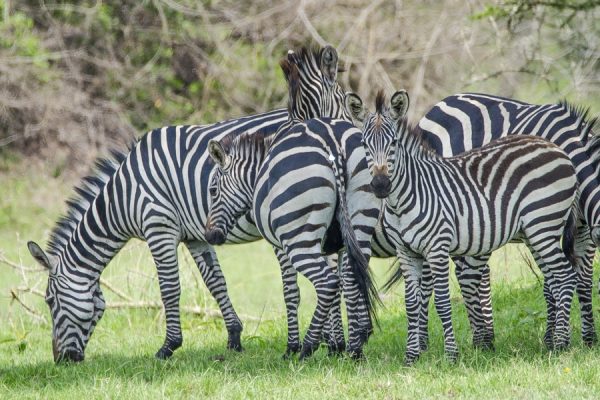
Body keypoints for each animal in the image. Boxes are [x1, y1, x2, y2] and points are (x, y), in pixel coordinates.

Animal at [25, 44, 350, 362]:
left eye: (49, 301)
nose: (62, 360)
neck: (123, 196)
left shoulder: (159, 228)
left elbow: (169, 289)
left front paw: (168, 346)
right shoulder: (195, 236)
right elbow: (216, 282)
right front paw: (234, 338)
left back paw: (327, 344)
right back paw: (334, 343)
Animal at [206, 57, 380, 358]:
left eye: (213, 191)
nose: (210, 236)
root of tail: (333, 144)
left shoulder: (280, 245)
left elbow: (291, 293)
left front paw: (297, 344)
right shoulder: (336, 245)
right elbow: (346, 284)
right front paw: (341, 342)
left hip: (298, 236)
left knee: (326, 283)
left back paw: (306, 348)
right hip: (360, 220)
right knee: (351, 277)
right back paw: (355, 349)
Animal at [346, 90, 580, 366]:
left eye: (393, 143)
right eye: (364, 144)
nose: (381, 185)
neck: (404, 199)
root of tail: (556, 148)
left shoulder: (437, 248)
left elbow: (442, 302)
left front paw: (451, 355)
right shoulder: (406, 252)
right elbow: (411, 304)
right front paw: (411, 356)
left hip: (544, 225)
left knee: (565, 276)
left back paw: (562, 344)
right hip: (536, 232)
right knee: (555, 279)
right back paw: (554, 342)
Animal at [414, 93, 600, 346]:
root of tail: (441, 103)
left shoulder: (583, 229)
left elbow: (584, 280)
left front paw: (589, 338)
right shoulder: (540, 224)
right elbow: (551, 283)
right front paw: (553, 338)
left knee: (477, 275)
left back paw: (485, 335)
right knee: (449, 276)